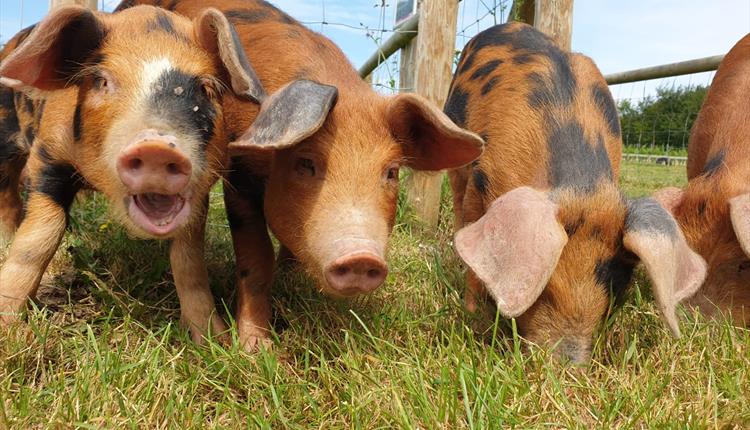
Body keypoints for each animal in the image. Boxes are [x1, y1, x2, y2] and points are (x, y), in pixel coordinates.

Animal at [0, 5, 338, 344]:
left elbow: (188, 262)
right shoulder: (47, 158)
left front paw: (213, 340)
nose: (157, 146)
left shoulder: (200, 193)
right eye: (101, 81)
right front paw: (8, 328)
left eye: (205, 87)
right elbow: (37, 241)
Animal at [114, 0, 484, 350]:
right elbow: (255, 257)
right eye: (305, 163)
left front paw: (290, 276)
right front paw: (256, 349)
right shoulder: (240, 177)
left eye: (391, 172)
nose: (361, 256)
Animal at [446, 22, 712, 362]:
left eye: (615, 286)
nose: (567, 367)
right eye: (545, 287)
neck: (581, 189)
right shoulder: (480, 179)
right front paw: (474, 317)